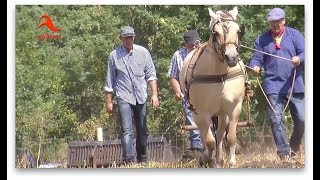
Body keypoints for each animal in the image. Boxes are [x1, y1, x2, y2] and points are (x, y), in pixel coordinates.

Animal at [180, 7, 245, 167]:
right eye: (216, 33)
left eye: (238, 31)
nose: (231, 57)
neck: (219, 75)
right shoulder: (201, 113)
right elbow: (209, 142)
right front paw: (204, 159)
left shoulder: (234, 108)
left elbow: (231, 137)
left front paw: (231, 162)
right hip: (199, 115)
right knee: (207, 137)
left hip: (221, 114)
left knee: (220, 135)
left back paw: (219, 160)